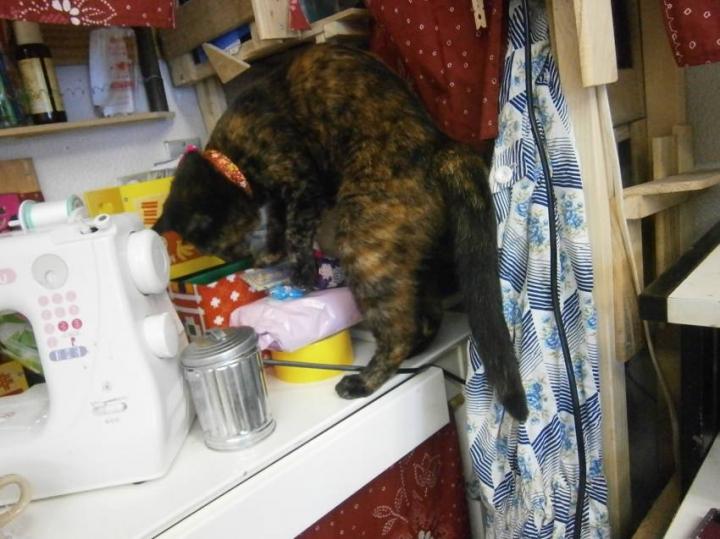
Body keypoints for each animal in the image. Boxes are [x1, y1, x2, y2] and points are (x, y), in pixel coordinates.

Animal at [154, 43, 528, 420]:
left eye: (229, 250)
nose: (255, 259)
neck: (231, 159)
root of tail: (439, 144)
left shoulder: (301, 181)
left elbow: (297, 229)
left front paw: (301, 272)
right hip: (408, 260)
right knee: (424, 316)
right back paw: (412, 351)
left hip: (364, 247)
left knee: (399, 330)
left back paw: (364, 381)